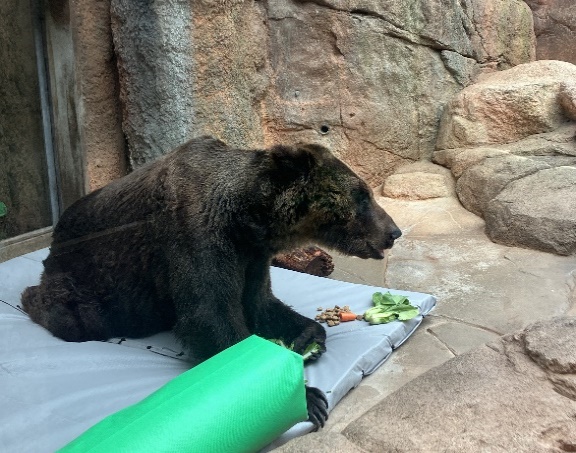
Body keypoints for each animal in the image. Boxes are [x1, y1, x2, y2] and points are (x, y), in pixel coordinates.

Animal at [21, 136, 400, 430]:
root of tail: (55, 236)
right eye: (362, 195)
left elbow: (260, 302)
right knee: (75, 314)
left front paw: (307, 337)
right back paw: (30, 298)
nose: (393, 232)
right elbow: (210, 314)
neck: (248, 219)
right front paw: (309, 398)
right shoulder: (196, 235)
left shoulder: (252, 256)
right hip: (93, 284)